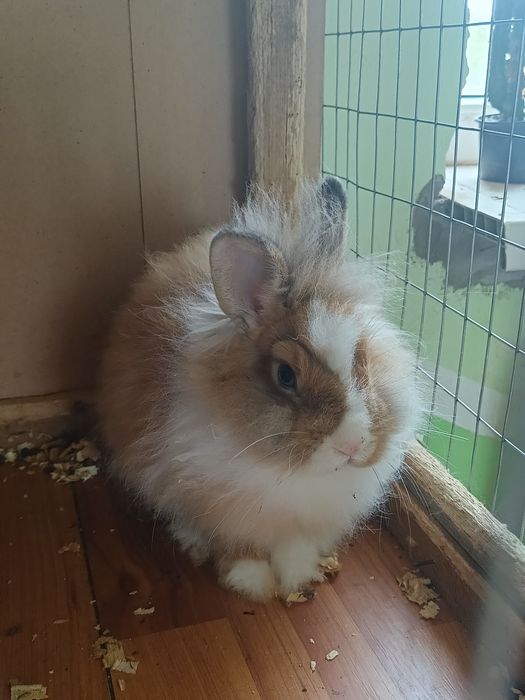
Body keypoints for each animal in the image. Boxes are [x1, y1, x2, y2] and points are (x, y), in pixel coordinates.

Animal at [98, 176, 421, 602]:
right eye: (285, 375)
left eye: (362, 358)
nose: (352, 446)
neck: (288, 473)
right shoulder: (223, 511)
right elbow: (240, 548)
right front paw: (252, 584)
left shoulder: (299, 523)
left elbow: (294, 547)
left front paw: (298, 576)